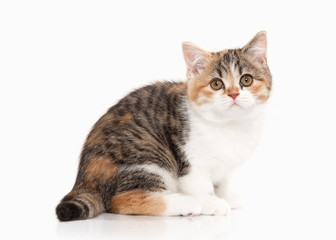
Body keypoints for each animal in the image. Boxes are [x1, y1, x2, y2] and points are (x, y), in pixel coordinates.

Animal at [55, 31, 270, 221]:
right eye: (216, 84)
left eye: (246, 80)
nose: (233, 94)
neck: (229, 124)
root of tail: (83, 179)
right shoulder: (190, 158)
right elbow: (200, 184)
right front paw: (211, 202)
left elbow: (222, 180)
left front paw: (225, 196)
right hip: (147, 156)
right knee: (122, 200)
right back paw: (186, 204)